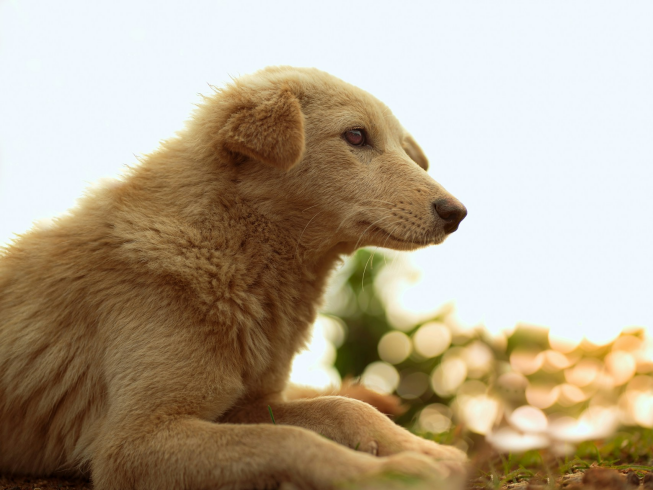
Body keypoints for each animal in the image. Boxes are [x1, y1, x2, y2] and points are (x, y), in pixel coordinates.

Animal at [0, 66, 468, 490]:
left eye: (404, 149)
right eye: (356, 136)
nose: (457, 213)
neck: (230, 248)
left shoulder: (246, 404)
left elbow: (339, 408)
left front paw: (424, 450)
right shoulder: (130, 443)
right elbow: (288, 441)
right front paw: (389, 473)